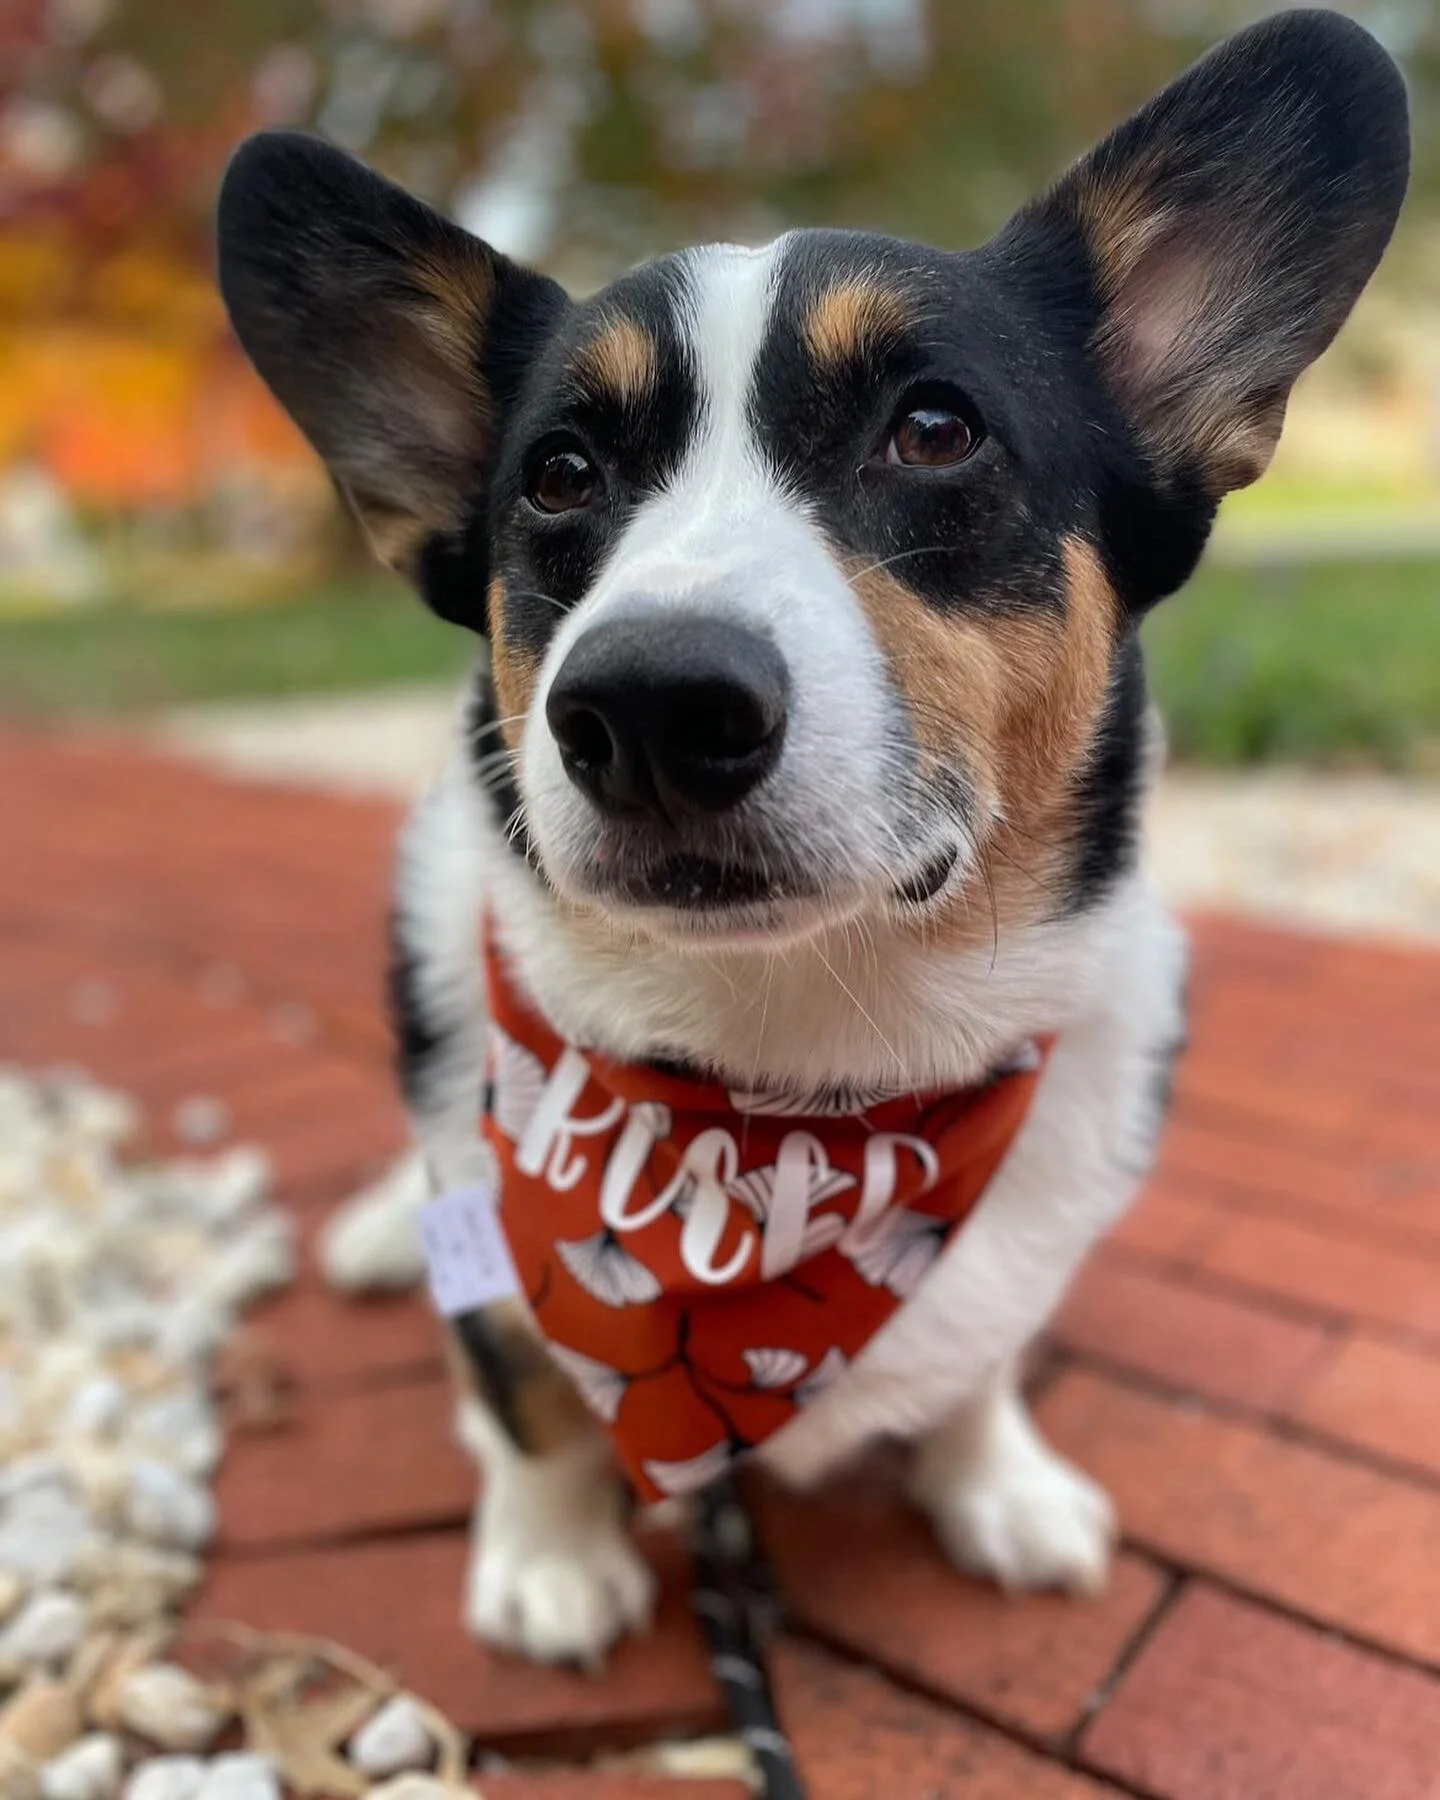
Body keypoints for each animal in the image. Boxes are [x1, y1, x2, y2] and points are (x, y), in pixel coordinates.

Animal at [217, 9, 1408, 1668]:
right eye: (561, 474)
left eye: (935, 431)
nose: (648, 707)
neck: (789, 1074)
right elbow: (525, 1396)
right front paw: (550, 1562)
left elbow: (981, 1362)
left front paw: (1000, 1489)